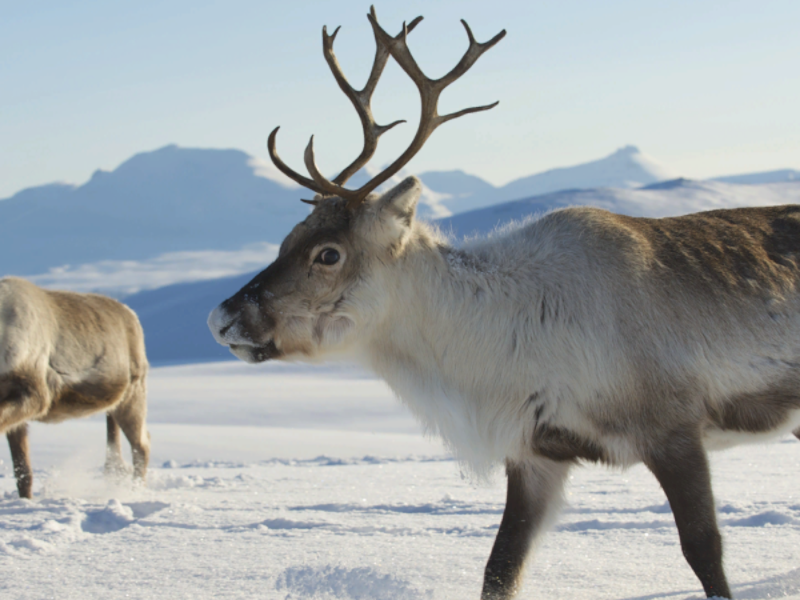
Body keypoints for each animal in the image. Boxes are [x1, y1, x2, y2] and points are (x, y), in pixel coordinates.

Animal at [0, 276, 150, 499]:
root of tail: (132, 315)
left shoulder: (35, 393)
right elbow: (23, 470)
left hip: (133, 394)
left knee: (142, 444)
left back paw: (134, 491)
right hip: (116, 403)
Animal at [208, 7, 800, 599]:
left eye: (328, 253)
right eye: (286, 239)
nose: (221, 317)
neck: (505, 338)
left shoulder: (672, 428)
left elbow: (704, 550)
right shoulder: (536, 453)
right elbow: (500, 567)